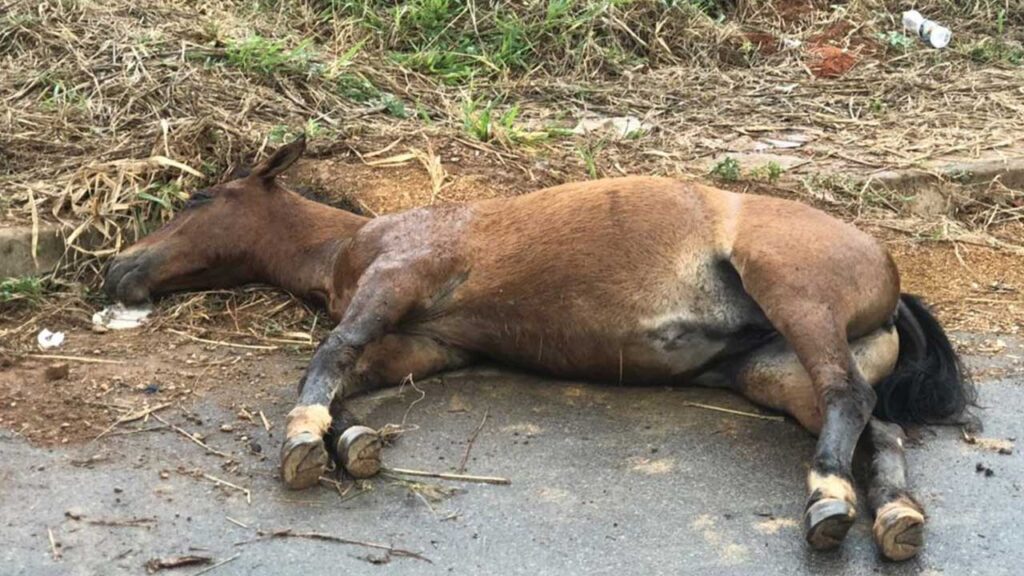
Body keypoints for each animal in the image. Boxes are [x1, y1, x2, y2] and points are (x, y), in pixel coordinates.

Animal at [105, 136, 974, 557]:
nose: (115, 269)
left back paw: (829, 499)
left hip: (793, 296)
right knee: (875, 426)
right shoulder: (425, 345)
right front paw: (345, 440)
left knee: (850, 401)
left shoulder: (397, 279)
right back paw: (892, 514)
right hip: (773, 370)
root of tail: (888, 275)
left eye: (199, 198)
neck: (353, 242)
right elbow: (346, 379)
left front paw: (301, 441)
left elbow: (327, 357)